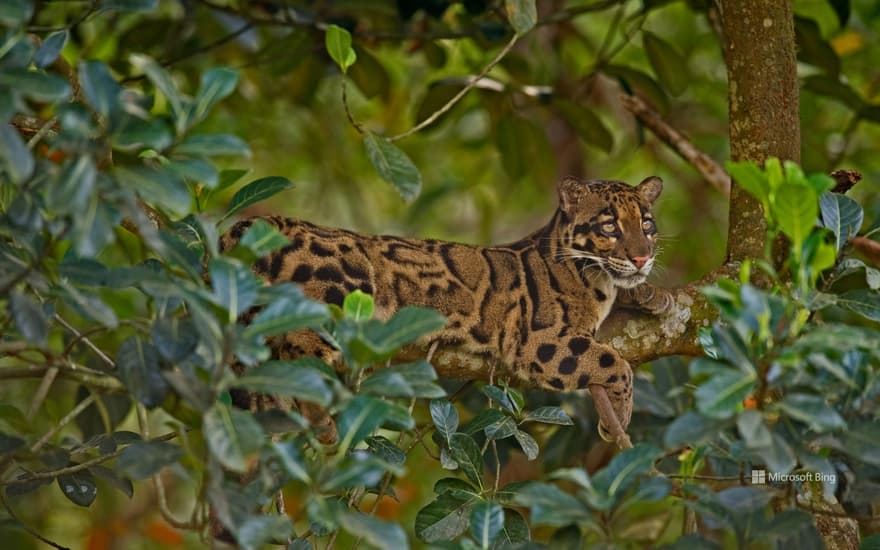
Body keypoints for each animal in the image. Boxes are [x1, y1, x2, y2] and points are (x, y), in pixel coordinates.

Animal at [222, 177, 672, 444]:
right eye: (609, 226)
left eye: (647, 225)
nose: (641, 256)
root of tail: (269, 222)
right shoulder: (539, 341)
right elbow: (616, 363)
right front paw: (619, 418)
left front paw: (652, 293)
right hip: (341, 286)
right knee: (298, 349)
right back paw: (319, 420)